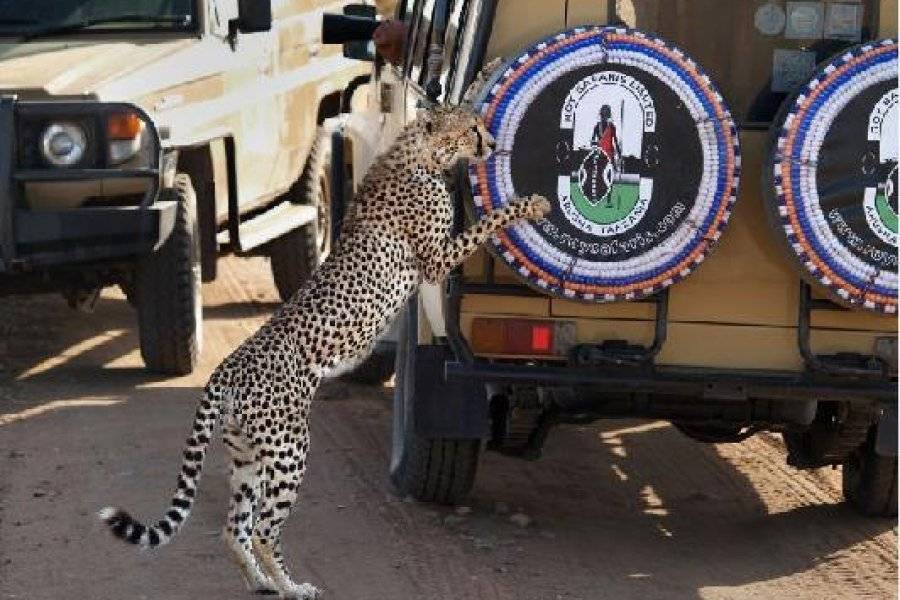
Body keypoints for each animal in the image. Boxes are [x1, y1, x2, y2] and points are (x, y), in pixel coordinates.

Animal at [96, 105, 548, 596]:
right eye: (470, 128)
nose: (492, 143)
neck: (419, 152)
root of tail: (226, 367)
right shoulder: (436, 261)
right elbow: (488, 221)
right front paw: (532, 204)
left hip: (246, 453)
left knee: (233, 528)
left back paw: (262, 583)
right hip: (290, 447)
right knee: (262, 529)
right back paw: (293, 586)